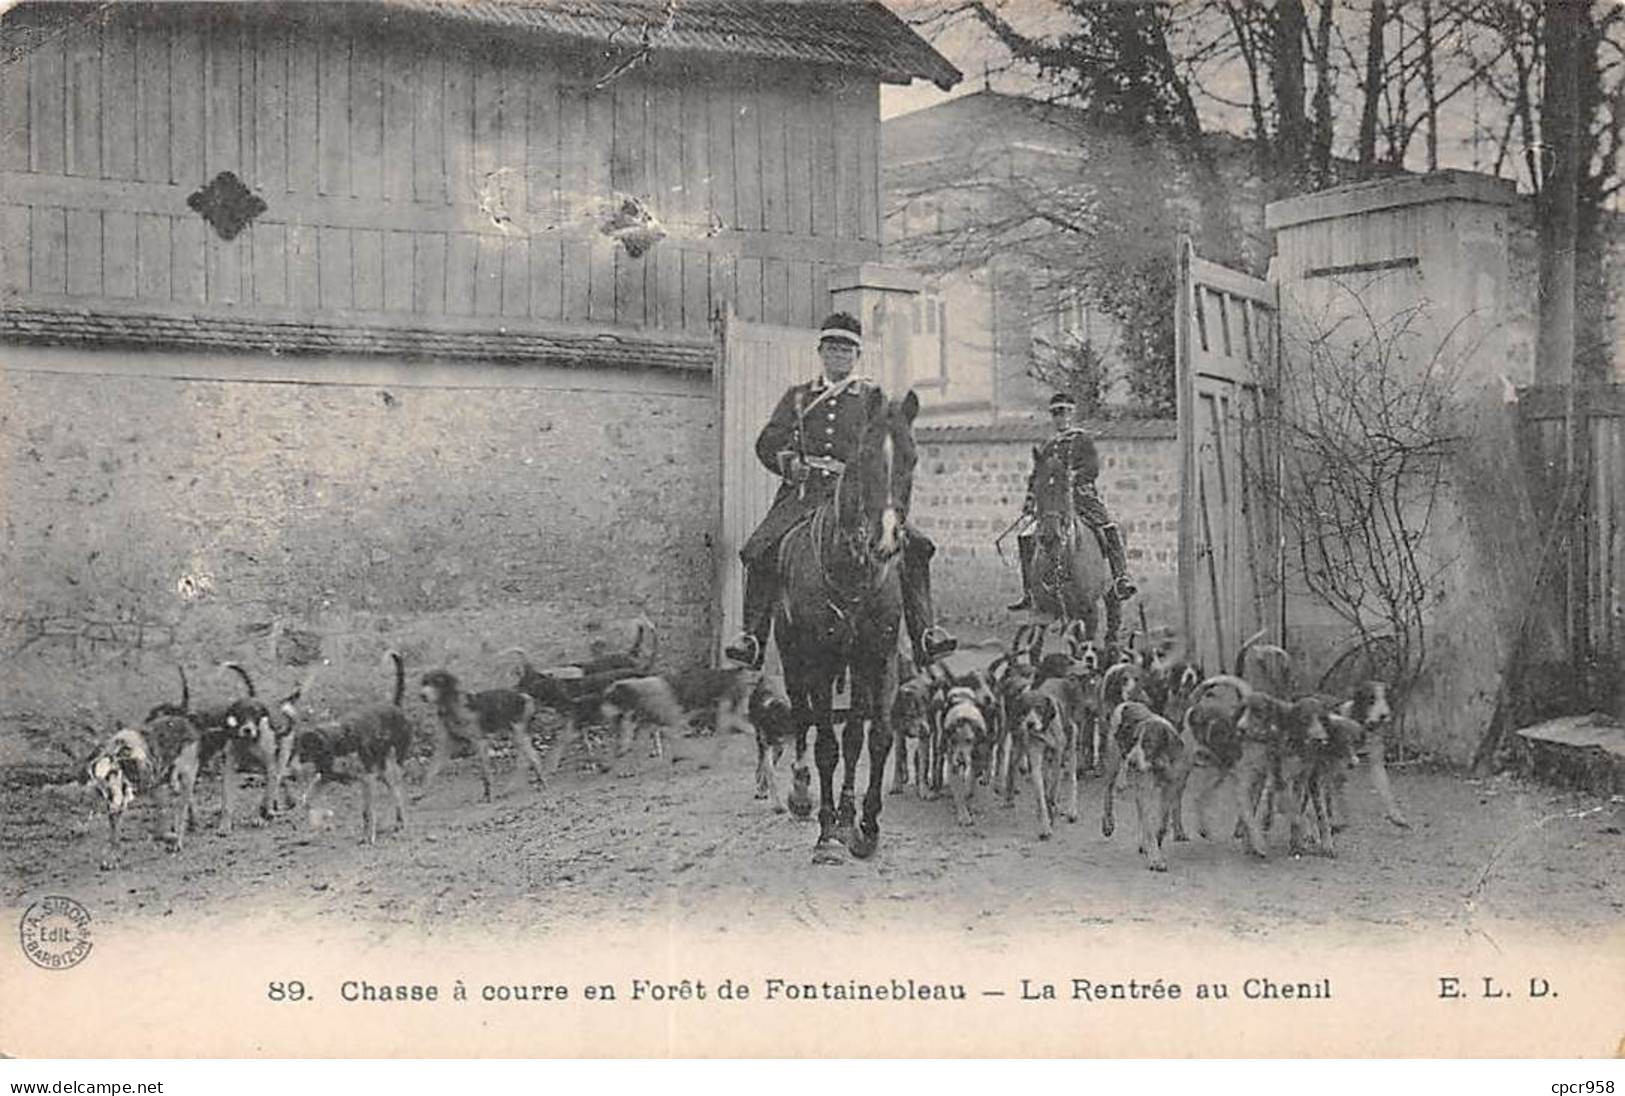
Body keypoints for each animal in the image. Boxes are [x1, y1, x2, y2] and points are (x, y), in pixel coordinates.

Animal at [287, 653, 412, 839]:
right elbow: (311, 794)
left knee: (397, 794)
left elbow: (368, 811)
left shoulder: (366, 778)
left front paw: (369, 835)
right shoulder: (329, 775)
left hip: (393, 767)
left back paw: (399, 821)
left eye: (307, 748)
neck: (342, 738)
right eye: (299, 747)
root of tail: (395, 707)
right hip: (382, 772)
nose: (294, 764)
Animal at [416, 660, 542, 796]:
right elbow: (432, 769)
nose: (422, 695)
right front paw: (421, 791)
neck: (453, 706)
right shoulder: (448, 743)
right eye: (425, 682)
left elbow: (485, 773)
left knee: (527, 760)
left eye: (437, 682)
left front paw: (489, 795)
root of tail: (524, 697)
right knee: (533, 758)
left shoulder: (480, 742)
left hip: (517, 735)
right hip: (519, 736)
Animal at [776, 388, 923, 858]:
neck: (852, 571)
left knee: (854, 734)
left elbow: (875, 738)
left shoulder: (880, 657)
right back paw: (803, 793)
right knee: (802, 718)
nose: (887, 541)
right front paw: (827, 831)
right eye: (864, 455)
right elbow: (825, 744)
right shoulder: (820, 661)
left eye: (912, 458)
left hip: (855, 667)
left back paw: (845, 811)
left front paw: (866, 824)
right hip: (792, 658)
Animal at [1027, 442, 1118, 650]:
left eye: (1066, 489)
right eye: (1036, 486)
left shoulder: (1091, 614)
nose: (1049, 537)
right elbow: (1035, 649)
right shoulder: (1042, 612)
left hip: (1110, 595)